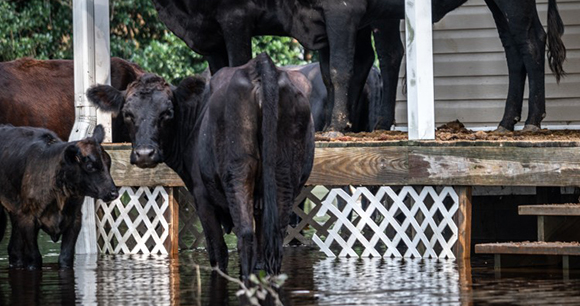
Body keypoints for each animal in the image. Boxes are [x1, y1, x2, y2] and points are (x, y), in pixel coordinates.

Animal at [0, 124, 118, 270]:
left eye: (109, 162)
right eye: (90, 166)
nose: (113, 193)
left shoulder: (75, 220)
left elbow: (65, 258)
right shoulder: (27, 218)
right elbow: (34, 258)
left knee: (14, 250)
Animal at [85, 53, 312, 278]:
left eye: (167, 113)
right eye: (127, 113)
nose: (144, 154)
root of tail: (259, 65)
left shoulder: (201, 196)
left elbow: (217, 251)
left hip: (237, 173)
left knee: (244, 236)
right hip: (284, 174)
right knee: (274, 240)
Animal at [152, 0, 564, 134]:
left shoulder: (236, 18)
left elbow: (342, 69)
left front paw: (336, 127)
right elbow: (342, 70)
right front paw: (338, 125)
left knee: (530, 42)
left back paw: (531, 121)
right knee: (512, 47)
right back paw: (507, 121)